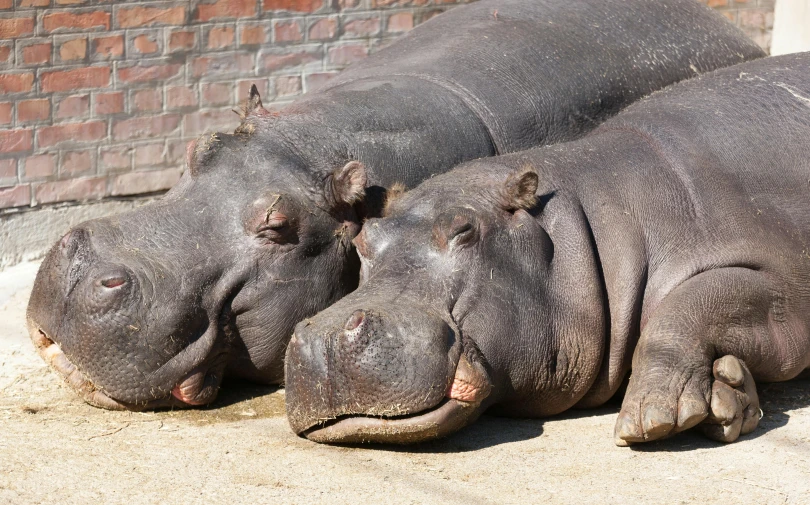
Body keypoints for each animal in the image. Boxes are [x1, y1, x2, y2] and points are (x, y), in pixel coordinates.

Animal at [286, 52, 810, 444]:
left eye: (464, 229)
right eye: (363, 239)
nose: (324, 337)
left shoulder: (779, 282)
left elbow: (690, 305)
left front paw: (654, 417)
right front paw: (730, 394)